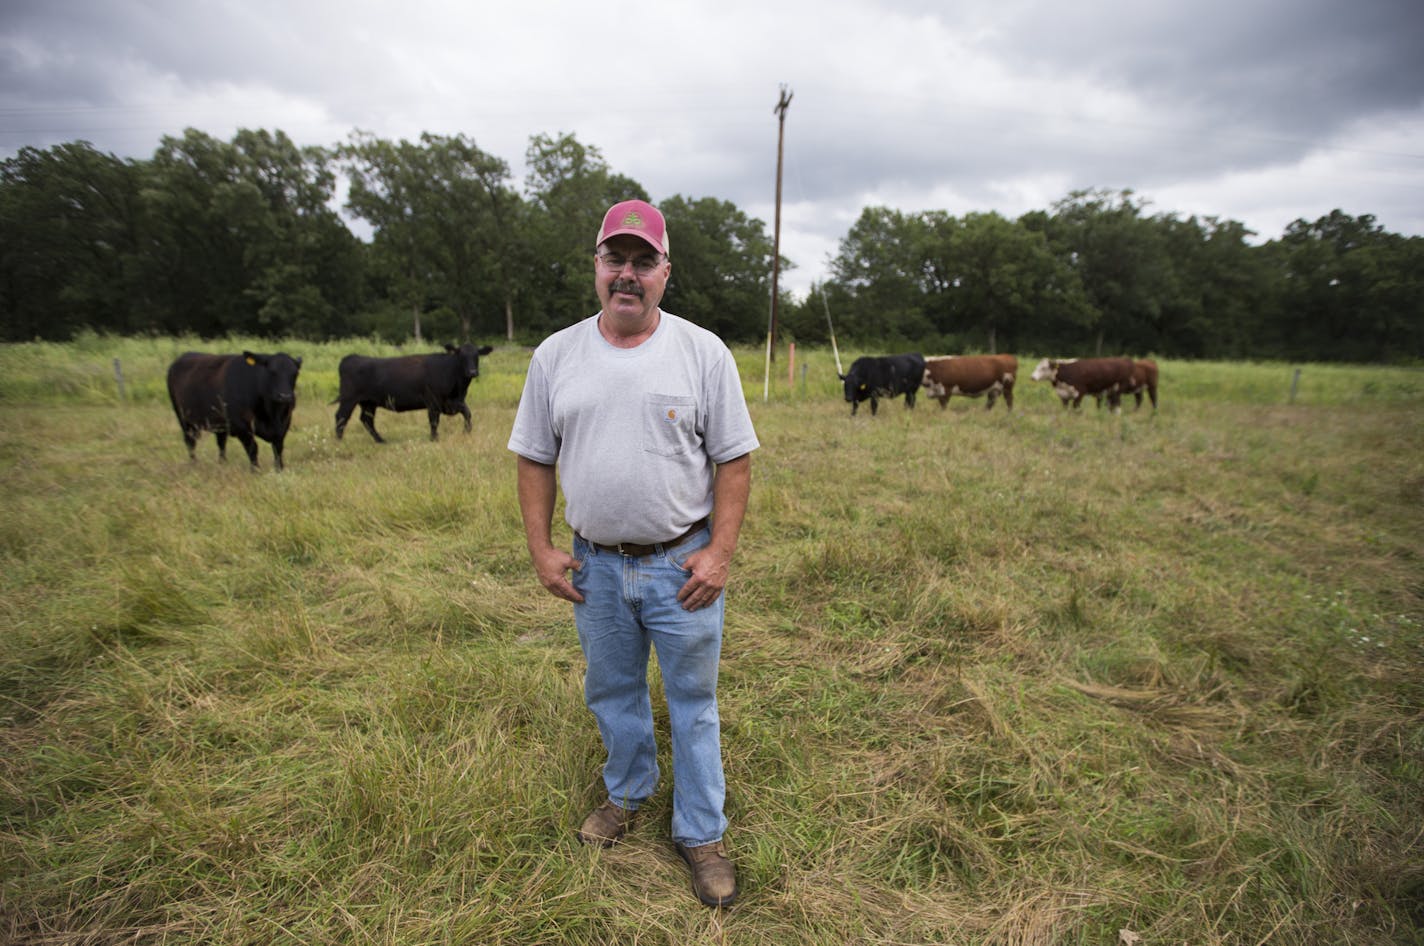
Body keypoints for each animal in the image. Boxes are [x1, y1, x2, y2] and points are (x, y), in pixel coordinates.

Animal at [165, 350, 301, 473]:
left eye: (295, 373)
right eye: (271, 372)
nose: (285, 396)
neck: (271, 414)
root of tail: (185, 355)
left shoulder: (283, 425)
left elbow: (278, 449)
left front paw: (280, 470)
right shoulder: (241, 426)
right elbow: (253, 448)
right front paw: (255, 471)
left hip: (219, 423)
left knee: (221, 443)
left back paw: (222, 463)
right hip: (183, 418)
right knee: (190, 442)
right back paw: (194, 464)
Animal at [333, 341, 495, 441]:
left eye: (477, 356)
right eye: (461, 355)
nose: (472, 372)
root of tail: (350, 357)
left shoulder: (455, 401)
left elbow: (467, 413)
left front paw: (466, 432)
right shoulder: (433, 401)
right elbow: (434, 422)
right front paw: (434, 439)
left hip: (368, 402)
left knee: (367, 420)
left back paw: (381, 441)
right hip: (349, 399)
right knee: (341, 417)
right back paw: (339, 441)